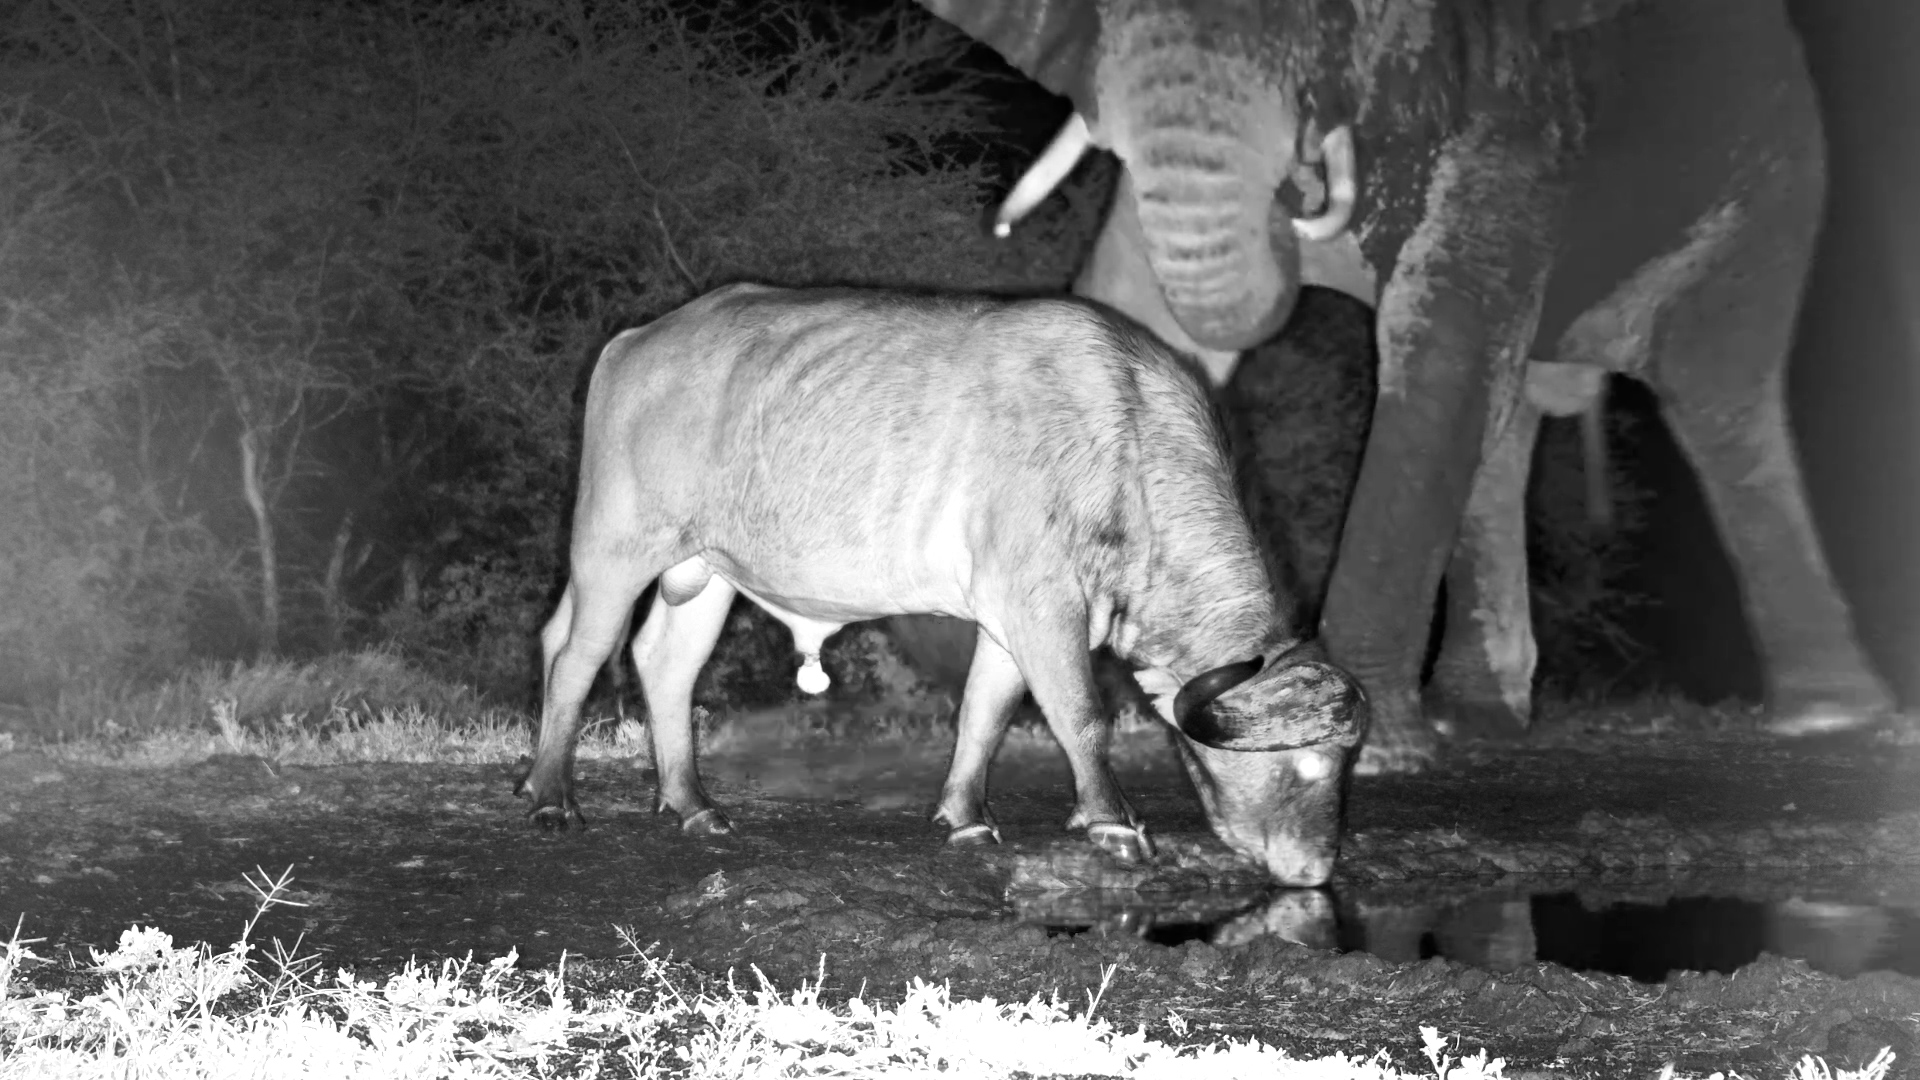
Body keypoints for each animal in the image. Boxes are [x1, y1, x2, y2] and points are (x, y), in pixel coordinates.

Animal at [908, 0, 1896, 771]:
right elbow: (1142, 304)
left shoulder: (1517, 102)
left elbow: (1438, 345)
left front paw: (1363, 749)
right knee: (1510, 415)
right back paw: (1482, 720)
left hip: (1770, 175)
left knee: (1720, 401)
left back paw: (1831, 718)